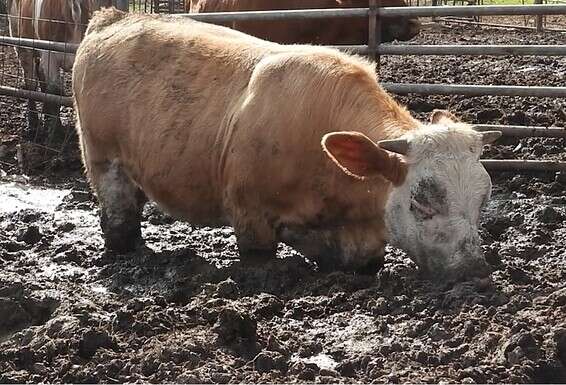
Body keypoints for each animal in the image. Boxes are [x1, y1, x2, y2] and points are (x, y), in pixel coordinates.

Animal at [6, 0, 111, 143]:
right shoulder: (49, 53)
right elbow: (55, 90)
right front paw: (56, 132)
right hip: (21, 42)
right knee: (31, 83)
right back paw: (33, 125)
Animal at [72, 8, 502, 280]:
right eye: (421, 203)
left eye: (483, 200)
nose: (473, 270)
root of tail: (113, 18)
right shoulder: (250, 219)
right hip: (104, 161)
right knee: (119, 222)